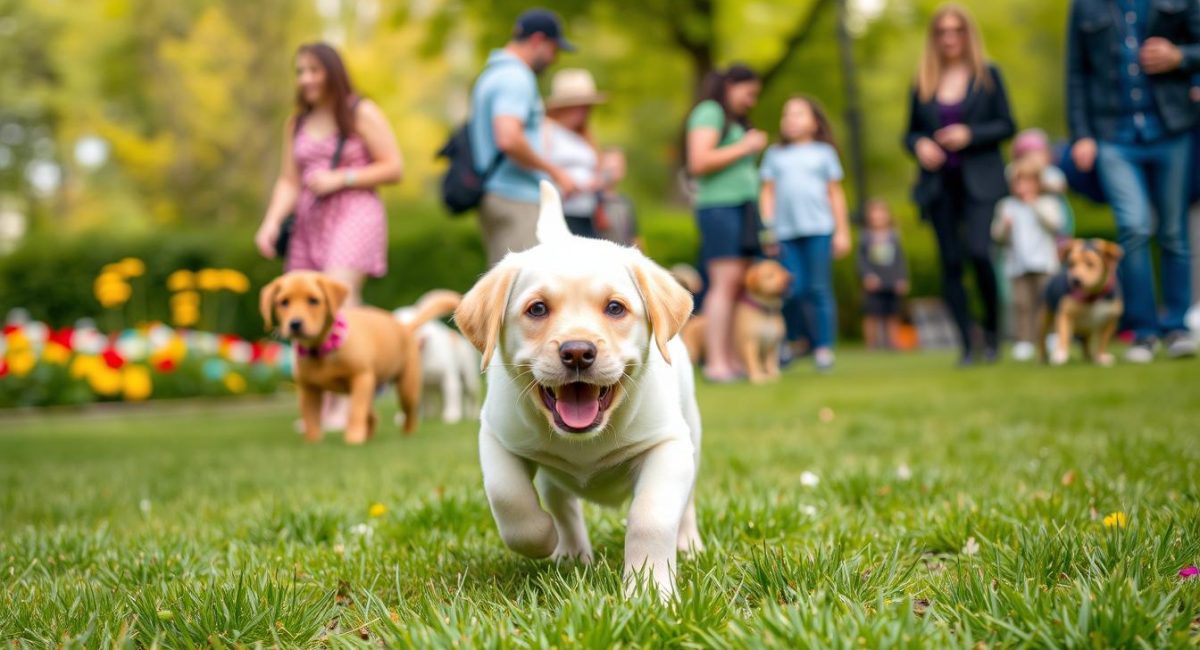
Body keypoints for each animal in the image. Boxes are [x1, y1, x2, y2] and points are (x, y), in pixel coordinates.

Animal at [260, 272, 460, 446]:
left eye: (313, 300)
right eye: (283, 302)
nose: (295, 324)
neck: (323, 349)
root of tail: (403, 327)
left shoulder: (361, 378)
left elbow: (355, 412)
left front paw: (353, 438)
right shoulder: (309, 389)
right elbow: (310, 417)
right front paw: (313, 441)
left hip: (405, 388)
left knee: (408, 412)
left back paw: (406, 434)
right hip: (370, 389)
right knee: (372, 415)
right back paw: (368, 436)